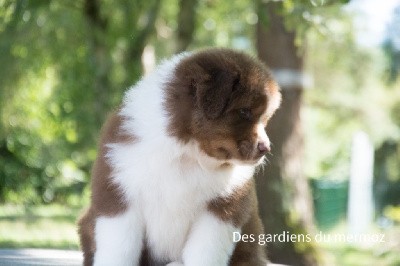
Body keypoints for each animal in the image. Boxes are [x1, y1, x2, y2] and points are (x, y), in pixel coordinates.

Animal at [78, 48, 282, 266]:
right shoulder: (118, 192)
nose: (266, 148)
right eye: (244, 111)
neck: (188, 154)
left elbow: (205, 252)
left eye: (265, 118)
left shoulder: (222, 208)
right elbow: (119, 249)